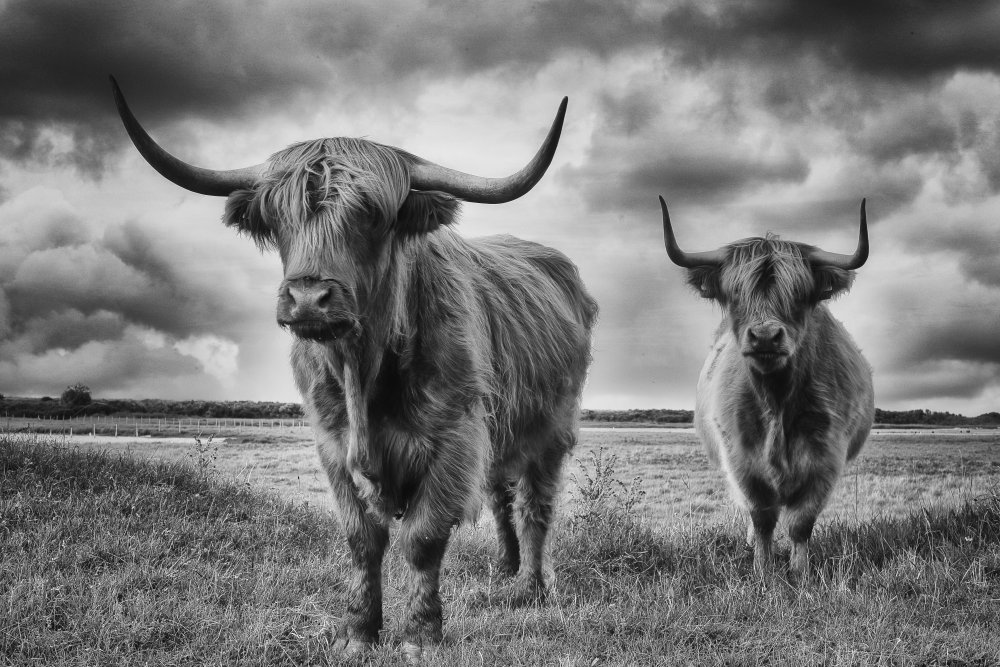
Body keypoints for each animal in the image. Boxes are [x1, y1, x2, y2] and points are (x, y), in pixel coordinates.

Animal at [111, 77, 592, 656]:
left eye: (374, 217)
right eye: (278, 218)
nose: (308, 299)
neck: (363, 371)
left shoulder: (455, 437)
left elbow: (424, 537)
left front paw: (420, 634)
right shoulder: (332, 442)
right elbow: (363, 538)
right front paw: (358, 631)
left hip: (552, 429)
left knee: (535, 506)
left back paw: (534, 587)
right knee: (501, 497)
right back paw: (505, 571)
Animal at [660, 197, 872, 580]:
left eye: (801, 294)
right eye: (734, 293)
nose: (764, 337)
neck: (777, 402)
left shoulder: (827, 457)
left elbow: (801, 522)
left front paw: (800, 571)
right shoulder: (740, 458)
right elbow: (761, 516)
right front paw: (762, 568)